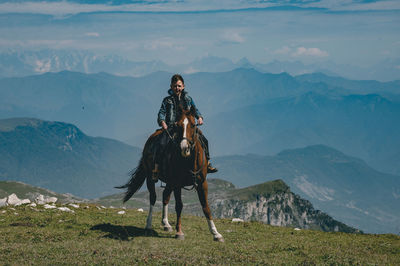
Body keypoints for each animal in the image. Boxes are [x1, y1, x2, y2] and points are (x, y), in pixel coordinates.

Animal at [115, 106, 225, 241]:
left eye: (193, 125)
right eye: (178, 125)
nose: (184, 147)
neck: (189, 161)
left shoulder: (202, 183)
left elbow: (206, 207)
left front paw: (216, 233)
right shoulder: (177, 183)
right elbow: (179, 206)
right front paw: (179, 232)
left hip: (169, 182)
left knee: (165, 196)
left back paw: (166, 223)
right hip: (151, 178)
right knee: (153, 198)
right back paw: (149, 225)